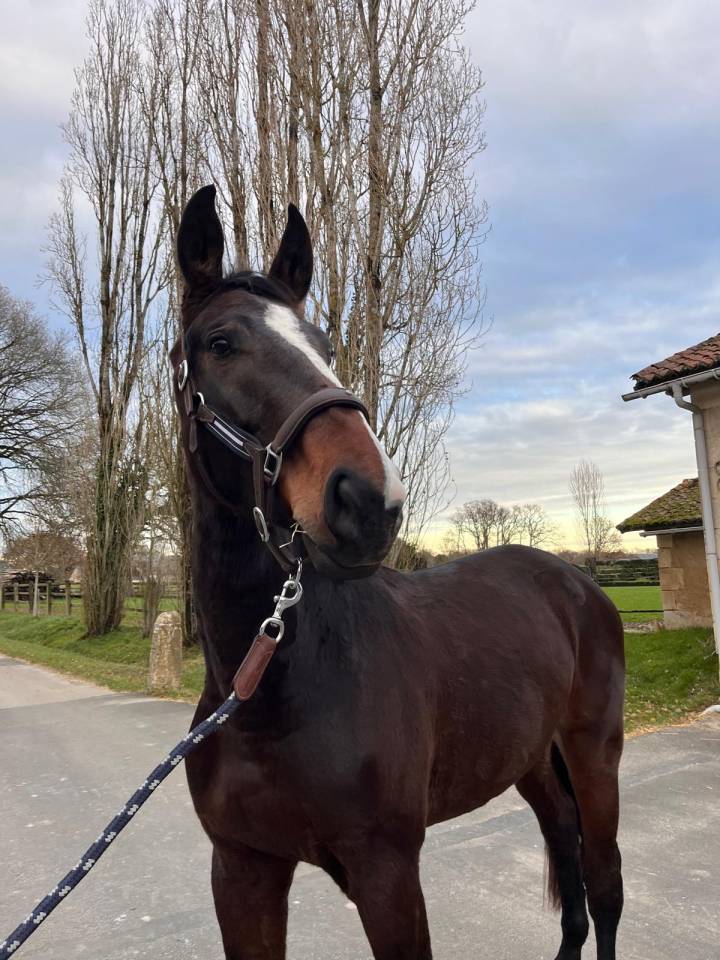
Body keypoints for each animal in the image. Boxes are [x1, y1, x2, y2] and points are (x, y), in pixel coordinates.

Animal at [174, 185, 625, 960]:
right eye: (220, 343)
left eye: (325, 346)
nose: (368, 499)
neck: (268, 694)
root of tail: (579, 585)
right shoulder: (241, 869)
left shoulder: (386, 874)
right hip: (533, 762)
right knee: (567, 863)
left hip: (595, 758)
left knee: (604, 885)